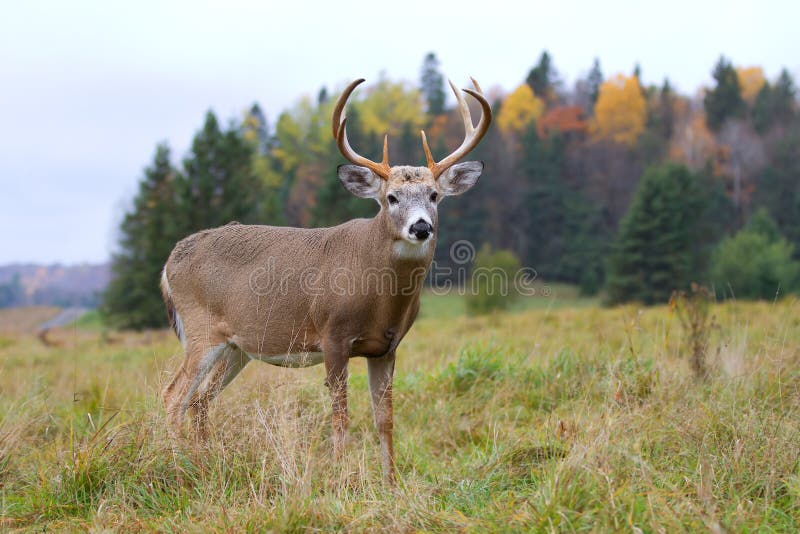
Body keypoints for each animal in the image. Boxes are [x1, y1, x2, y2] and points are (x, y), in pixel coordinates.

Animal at [159, 76, 490, 486]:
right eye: (391, 197)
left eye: (433, 195)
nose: (421, 227)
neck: (379, 297)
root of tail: (169, 261)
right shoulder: (332, 334)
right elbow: (341, 417)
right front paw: (338, 480)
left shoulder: (387, 347)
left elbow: (385, 420)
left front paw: (391, 485)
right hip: (201, 330)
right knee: (174, 397)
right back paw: (183, 470)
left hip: (236, 347)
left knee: (200, 402)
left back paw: (207, 466)